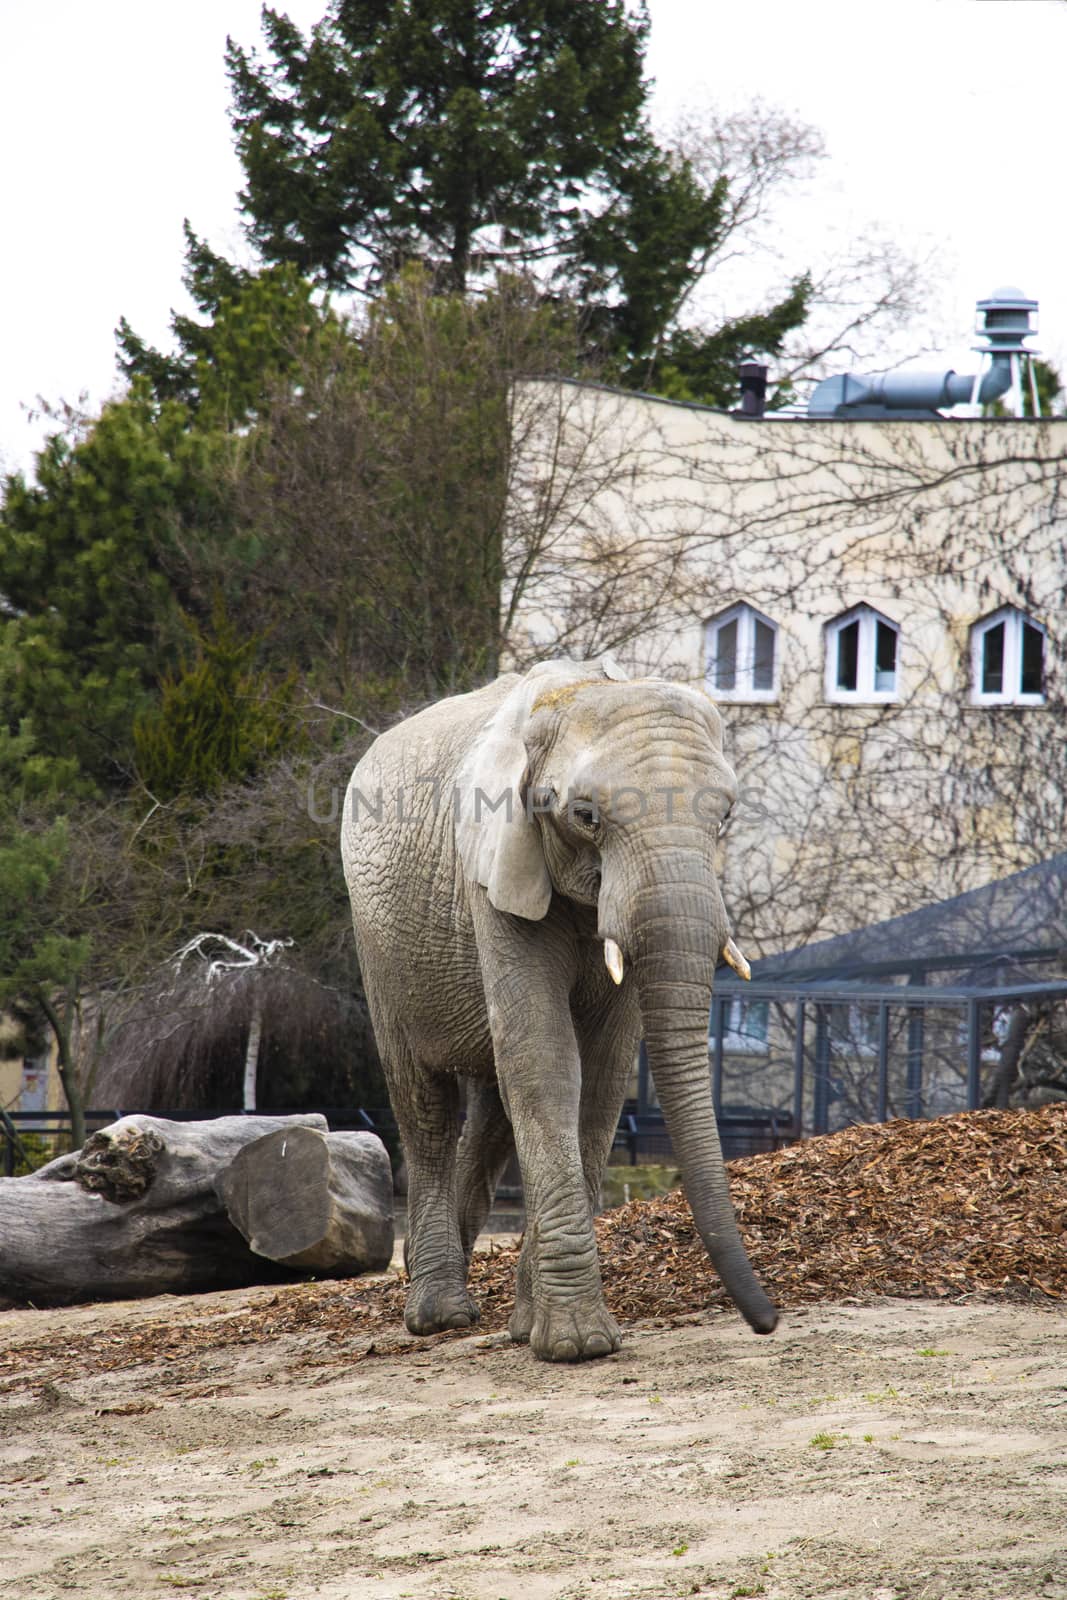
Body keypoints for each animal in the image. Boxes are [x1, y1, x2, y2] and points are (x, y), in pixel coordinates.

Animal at [342, 656, 777, 1356]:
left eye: (726, 816)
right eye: (585, 816)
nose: (766, 1323)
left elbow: (600, 1073)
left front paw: (533, 1328)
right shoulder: (493, 865)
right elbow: (546, 1058)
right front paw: (577, 1346)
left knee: (491, 1110)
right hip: (378, 941)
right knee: (424, 1103)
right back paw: (438, 1314)